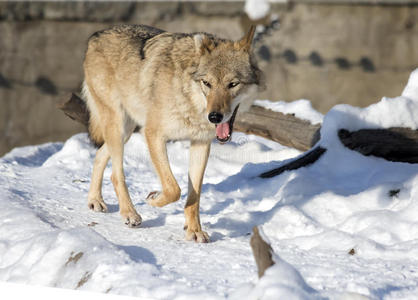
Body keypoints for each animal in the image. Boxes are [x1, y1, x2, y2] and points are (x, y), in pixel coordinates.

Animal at [83, 24, 262, 243]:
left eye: (233, 84)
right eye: (207, 83)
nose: (214, 117)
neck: (189, 98)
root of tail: (95, 35)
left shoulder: (200, 143)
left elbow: (194, 195)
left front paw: (194, 231)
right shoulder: (153, 134)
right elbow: (173, 189)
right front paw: (153, 199)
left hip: (125, 131)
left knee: (100, 155)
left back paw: (95, 200)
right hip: (118, 126)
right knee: (117, 174)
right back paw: (130, 214)